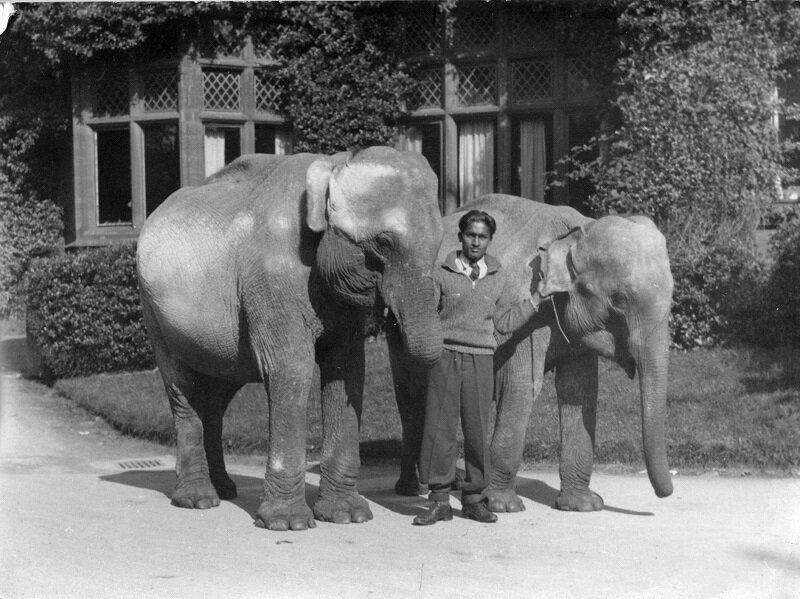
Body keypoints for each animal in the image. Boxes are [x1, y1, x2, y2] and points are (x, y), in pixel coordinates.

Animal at [134, 148, 440, 532]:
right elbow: (292, 369)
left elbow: (347, 371)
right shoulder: (272, 275)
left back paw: (225, 489)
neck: (334, 163)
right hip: (155, 315)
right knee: (183, 389)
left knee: (217, 398)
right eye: (384, 243)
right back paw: (198, 499)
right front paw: (287, 523)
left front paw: (347, 516)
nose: (421, 503)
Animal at [390, 195, 676, 512]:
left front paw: (584, 506)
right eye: (621, 300)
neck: (578, 230)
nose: (666, 494)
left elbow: (579, 390)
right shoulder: (521, 309)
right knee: (413, 395)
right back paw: (413, 488)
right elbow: (520, 387)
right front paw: (503, 506)